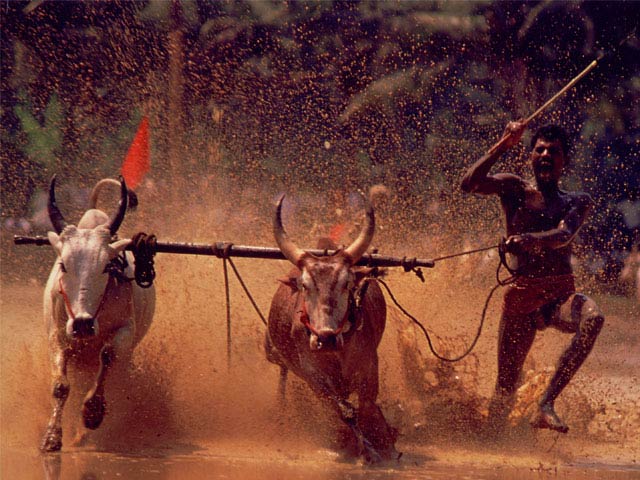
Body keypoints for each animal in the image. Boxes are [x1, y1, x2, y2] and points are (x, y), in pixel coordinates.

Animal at [40, 176, 155, 452]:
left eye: (106, 266)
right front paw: (52, 437)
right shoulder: (57, 336)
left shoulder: (125, 332)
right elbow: (60, 386)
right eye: (63, 265)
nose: (82, 324)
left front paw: (93, 413)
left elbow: (108, 356)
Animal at [264, 193, 398, 463]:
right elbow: (342, 411)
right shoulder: (312, 373)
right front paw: (357, 447)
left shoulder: (369, 364)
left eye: (347, 283)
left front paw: (385, 446)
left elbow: (367, 407)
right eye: (305, 285)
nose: (325, 338)